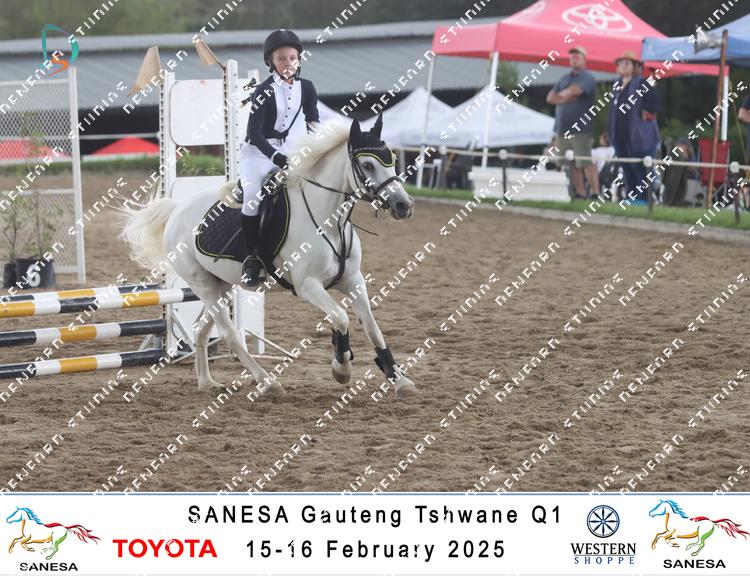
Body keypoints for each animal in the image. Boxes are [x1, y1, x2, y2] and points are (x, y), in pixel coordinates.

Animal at [119, 114, 419, 398]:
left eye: (392, 160)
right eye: (367, 165)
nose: (404, 205)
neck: (330, 221)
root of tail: (178, 209)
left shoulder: (353, 281)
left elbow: (371, 328)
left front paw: (400, 381)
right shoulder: (307, 285)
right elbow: (340, 317)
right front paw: (341, 369)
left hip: (221, 284)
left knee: (200, 330)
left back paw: (206, 382)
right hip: (202, 284)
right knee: (230, 334)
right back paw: (267, 382)